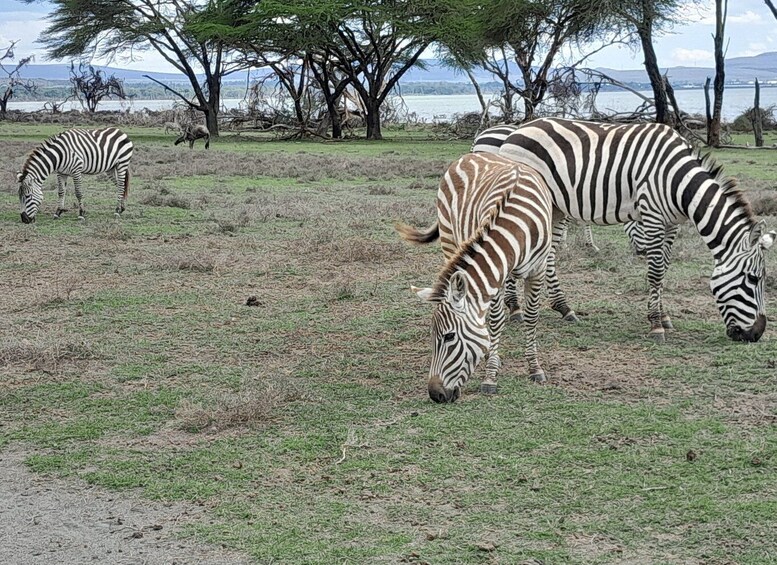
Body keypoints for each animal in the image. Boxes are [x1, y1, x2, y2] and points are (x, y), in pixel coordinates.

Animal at [398, 151, 556, 400]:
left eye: (449, 337)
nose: (435, 395)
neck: (519, 227)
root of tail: (470, 154)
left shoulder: (537, 269)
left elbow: (531, 317)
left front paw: (535, 368)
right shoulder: (497, 275)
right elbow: (496, 321)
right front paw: (491, 374)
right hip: (449, 239)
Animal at [498, 117, 776, 342]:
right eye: (754, 279)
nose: (756, 334)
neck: (679, 182)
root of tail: (516, 131)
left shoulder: (671, 224)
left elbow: (664, 269)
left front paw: (663, 316)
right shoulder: (652, 217)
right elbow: (655, 273)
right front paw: (656, 325)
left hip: (555, 206)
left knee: (549, 254)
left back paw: (564, 308)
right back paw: (514, 308)